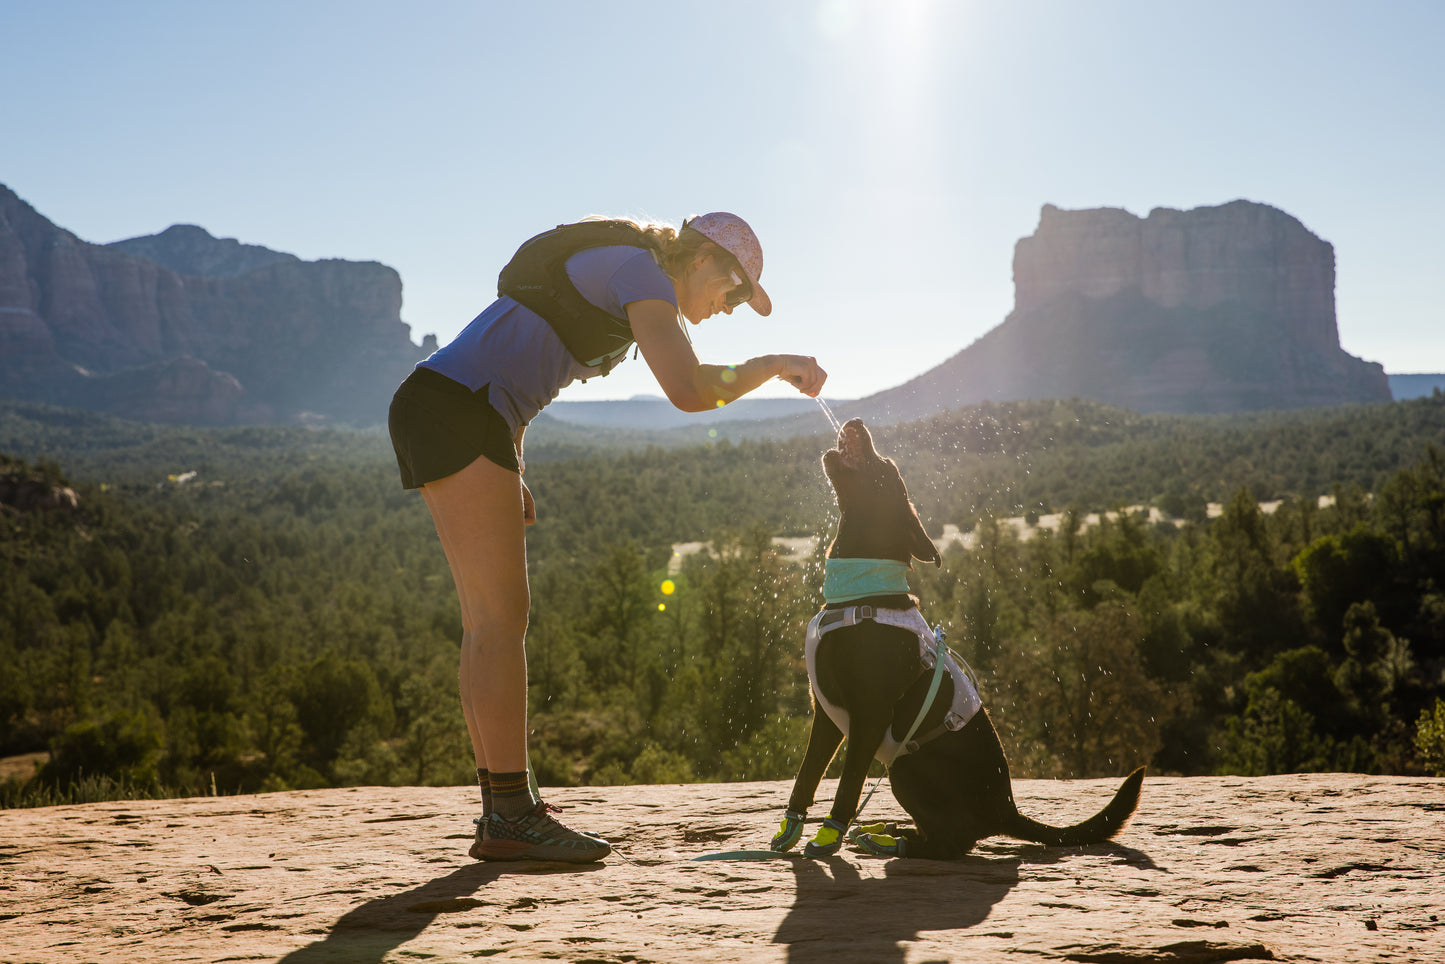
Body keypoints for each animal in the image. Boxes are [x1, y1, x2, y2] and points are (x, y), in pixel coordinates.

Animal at [768, 416, 1138, 861]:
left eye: (886, 468)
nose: (856, 421)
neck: (860, 593)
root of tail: (1007, 810)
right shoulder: (825, 712)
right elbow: (807, 773)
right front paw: (789, 829)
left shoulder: (868, 716)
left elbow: (848, 782)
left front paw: (828, 836)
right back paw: (889, 829)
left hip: (904, 767)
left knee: (952, 841)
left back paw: (893, 842)